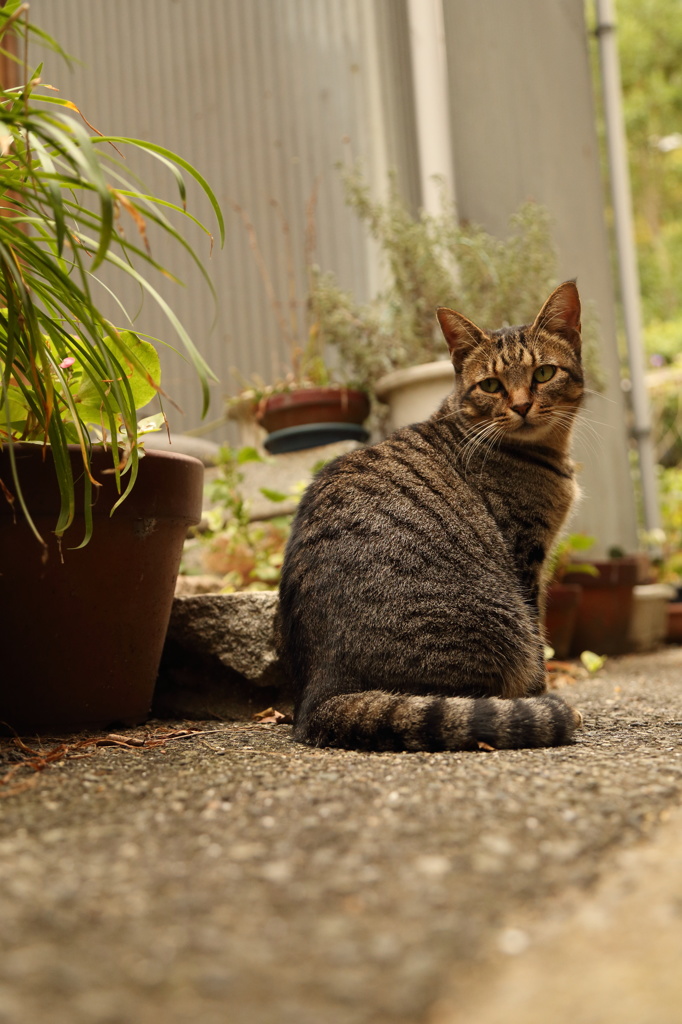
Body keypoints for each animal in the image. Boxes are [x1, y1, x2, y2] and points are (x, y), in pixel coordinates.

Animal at [278, 280, 581, 753]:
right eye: (491, 385)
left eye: (544, 374)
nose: (521, 406)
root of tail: (320, 693)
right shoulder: (526, 558)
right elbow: (540, 642)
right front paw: (541, 698)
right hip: (498, 622)